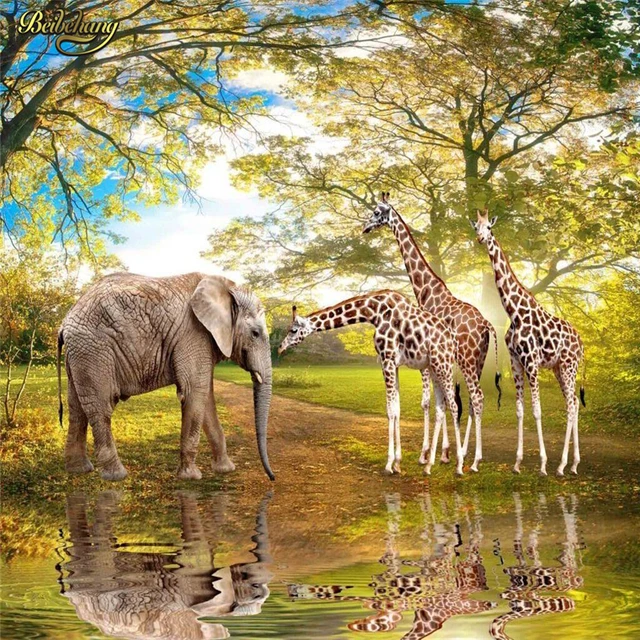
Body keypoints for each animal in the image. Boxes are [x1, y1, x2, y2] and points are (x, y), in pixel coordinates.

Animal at [278, 290, 464, 474]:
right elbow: (397, 409)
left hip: (442, 364)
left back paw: (458, 464)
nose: (280, 348)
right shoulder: (394, 363)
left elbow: (390, 410)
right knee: (441, 407)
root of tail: (452, 339)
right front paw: (398, 462)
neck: (374, 313)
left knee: (453, 405)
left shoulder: (386, 359)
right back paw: (430, 464)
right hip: (433, 367)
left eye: (293, 330)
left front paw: (389, 464)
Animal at [364, 193, 501, 473]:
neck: (426, 291)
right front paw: (445, 454)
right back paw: (467, 453)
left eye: (376, 212)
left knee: (477, 397)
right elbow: (444, 403)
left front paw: (427, 454)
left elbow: (429, 402)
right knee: (473, 401)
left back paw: (474, 460)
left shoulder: (427, 360)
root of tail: (486, 325)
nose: (366, 227)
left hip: (467, 360)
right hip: (478, 361)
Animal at [472, 210, 586, 476]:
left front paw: (542, 464)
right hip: (558, 368)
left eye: (489, 228)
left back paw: (561, 465)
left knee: (571, 404)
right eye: (475, 227)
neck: (514, 312)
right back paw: (573, 464)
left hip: (568, 366)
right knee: (574, 402)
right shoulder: (516, 362)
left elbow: (537, 410)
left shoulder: (531, 362)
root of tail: (582, 343)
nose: (481, 239)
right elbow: (520, 410)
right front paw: (517, 463)